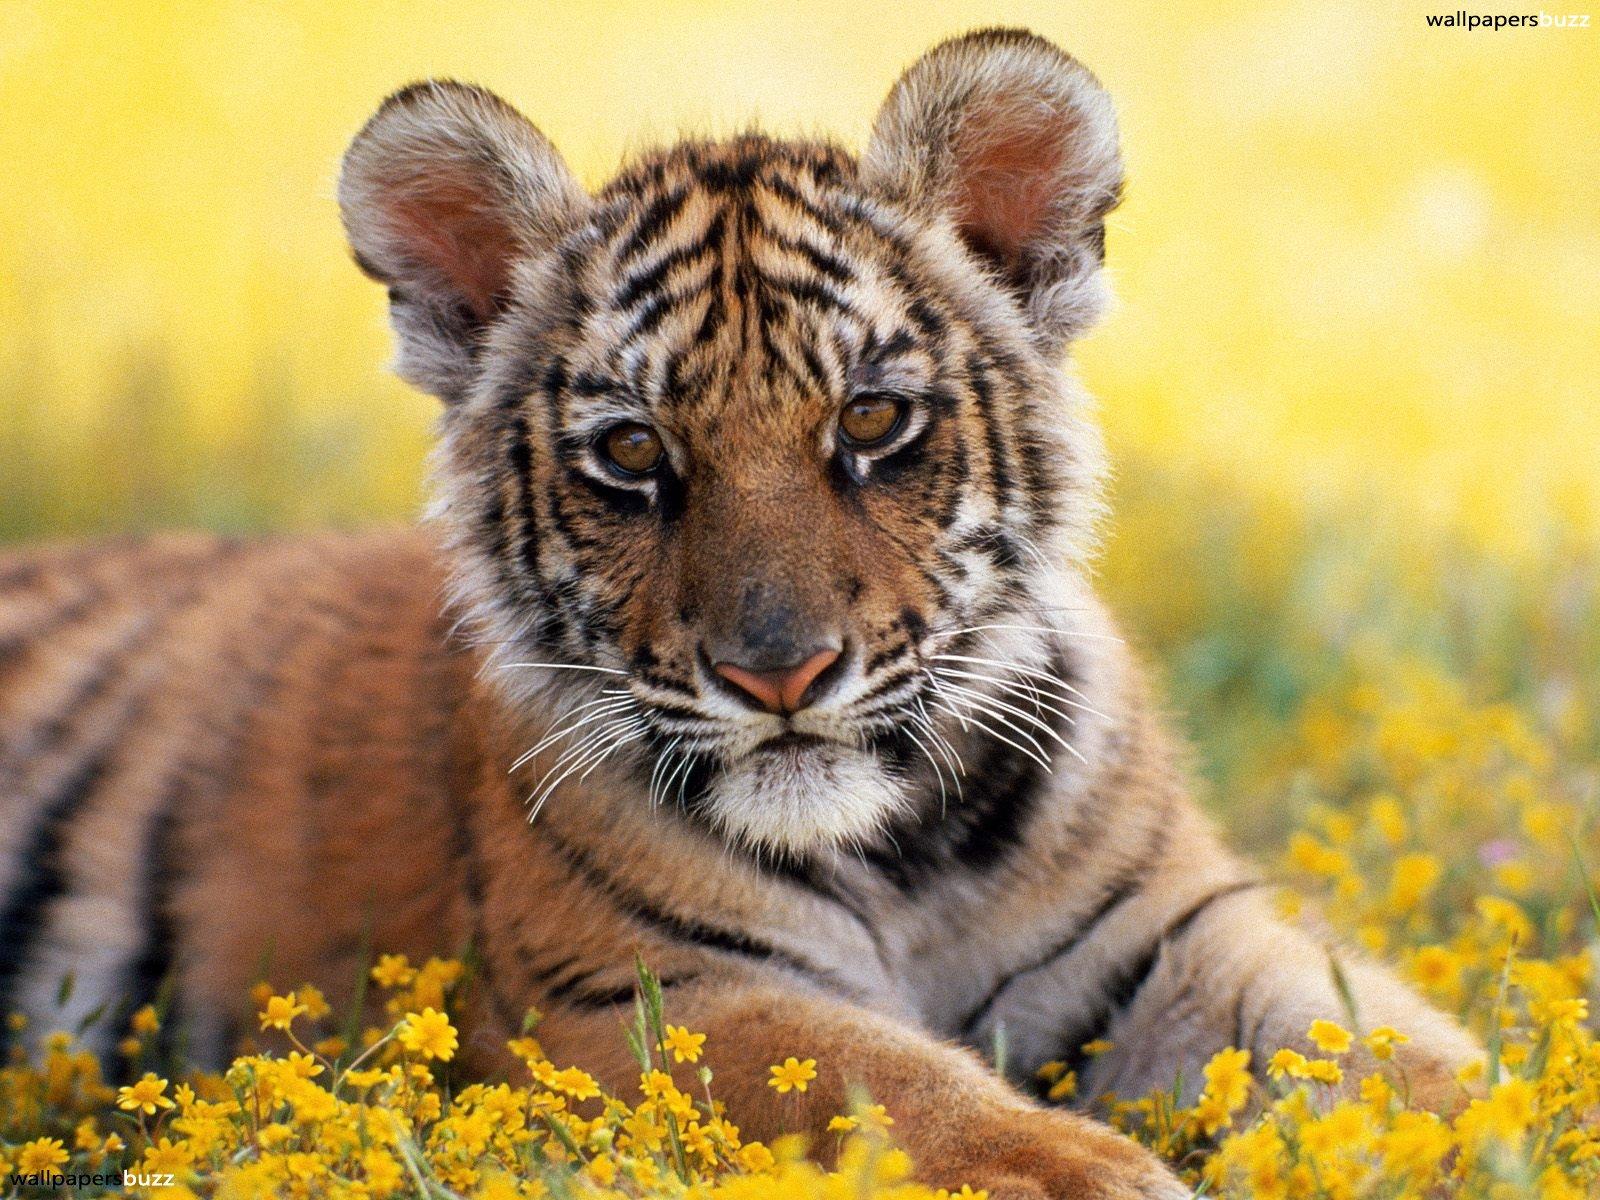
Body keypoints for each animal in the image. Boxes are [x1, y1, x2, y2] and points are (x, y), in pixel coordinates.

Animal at [0, 28, 1479, 1198]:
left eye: (872, 422)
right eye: (632, 452)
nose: (779, 675)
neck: (905, 854)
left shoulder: (1170, 934)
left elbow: (1395, 1049)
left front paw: (1489, 1133)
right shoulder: (645, 995)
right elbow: (894, 1085)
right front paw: (1098, 1176)